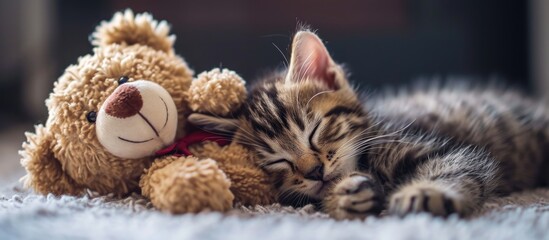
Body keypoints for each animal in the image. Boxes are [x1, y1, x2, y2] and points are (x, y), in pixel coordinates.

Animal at [188, 30, 548, 219]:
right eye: (277, 160)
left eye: (314, 130)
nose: (314, 172)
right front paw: (343, 196)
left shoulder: (451, 149)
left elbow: (454, 168)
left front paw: (424, 192)